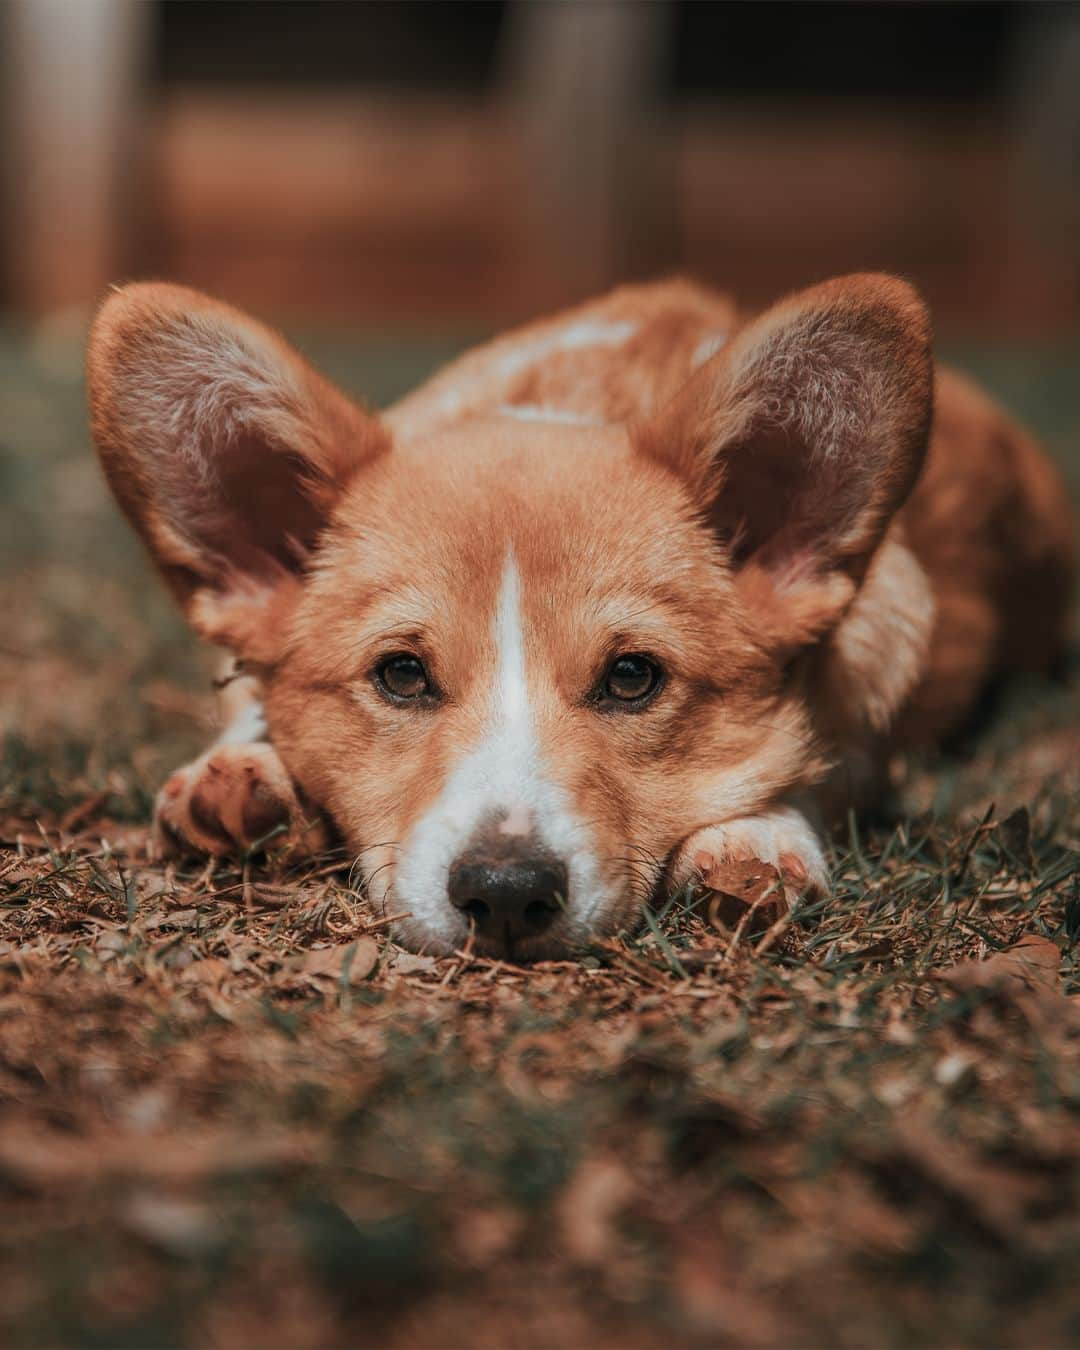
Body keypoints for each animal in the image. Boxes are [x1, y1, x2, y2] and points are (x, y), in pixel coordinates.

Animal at [86, 276, 1069, 961]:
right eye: (401, 673)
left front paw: (756, 836)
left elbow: (813, 760)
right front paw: (240, 771)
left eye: (632, 677)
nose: (505, 893)